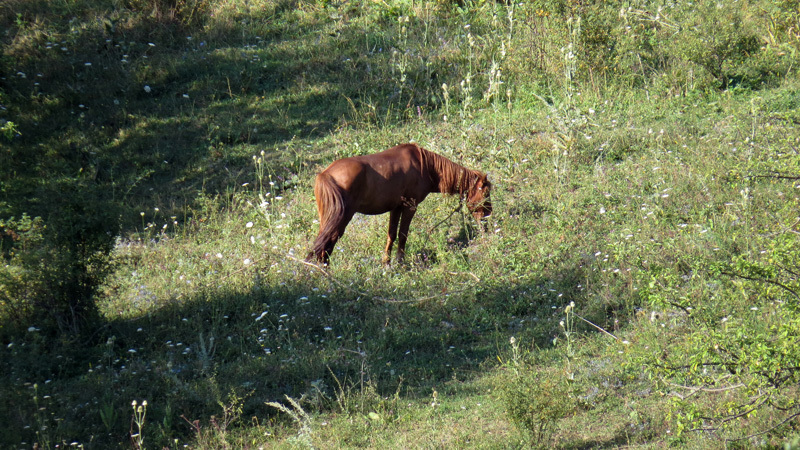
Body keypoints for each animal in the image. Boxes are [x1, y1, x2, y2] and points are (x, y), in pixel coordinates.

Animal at [308, 142, 490, 266]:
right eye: (486, 193)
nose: (487, 221)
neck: (425, 165)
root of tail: (325, 175)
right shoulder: (410, 207)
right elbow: (403, 235)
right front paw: (401, 263)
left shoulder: (395, 208)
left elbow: (392, 235)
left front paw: (387, 263)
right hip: (342, 218)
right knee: (328, 243)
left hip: (327, 218)